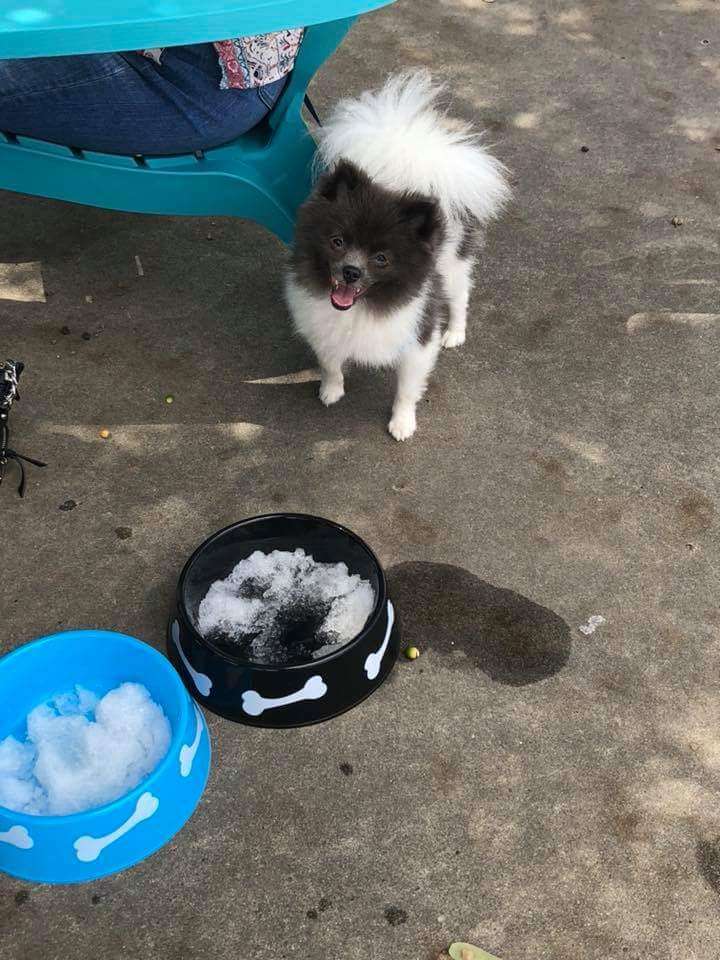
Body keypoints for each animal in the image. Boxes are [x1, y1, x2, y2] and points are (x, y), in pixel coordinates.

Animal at [284, 74, 510, 442]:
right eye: (337, 241)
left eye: (381, 259)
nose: (350, 272)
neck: (361, 307)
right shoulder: (322, 328)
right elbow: (330, 364)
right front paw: (331, 390)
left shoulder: (417, 341)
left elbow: (406, 389)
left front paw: (402, 423)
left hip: (452, 267)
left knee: (460, 297)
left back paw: (455, 333)